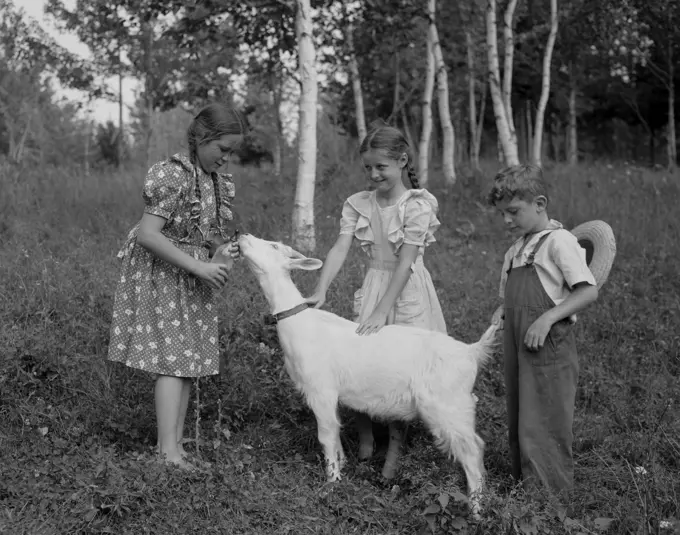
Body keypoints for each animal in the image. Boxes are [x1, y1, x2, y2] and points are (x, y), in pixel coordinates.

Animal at [239, 233, 500, 516]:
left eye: (274, 246)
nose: (242, 236)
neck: (301, 323)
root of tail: (471, 352)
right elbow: (336, 434)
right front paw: (341, 467)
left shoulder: (321, 390)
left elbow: (326, 435)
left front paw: (331, 484)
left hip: (448, 406)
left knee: (473, 451)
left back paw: (476, 511)